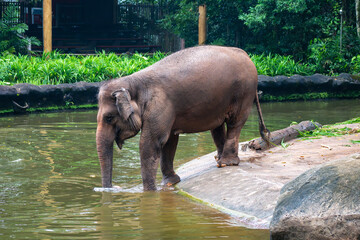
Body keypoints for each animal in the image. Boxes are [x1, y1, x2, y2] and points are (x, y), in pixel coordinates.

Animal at [95, 45, 270, 191]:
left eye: (109, 118)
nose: (112, 188)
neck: (133, 81)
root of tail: (246, 54)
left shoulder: (159, 106)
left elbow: (151, 143)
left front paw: (150, 192)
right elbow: (169, 141)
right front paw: (169, 183)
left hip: (244, 92)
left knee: (234, 123)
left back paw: (226, 163)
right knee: (217, 127)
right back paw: (219, 160)